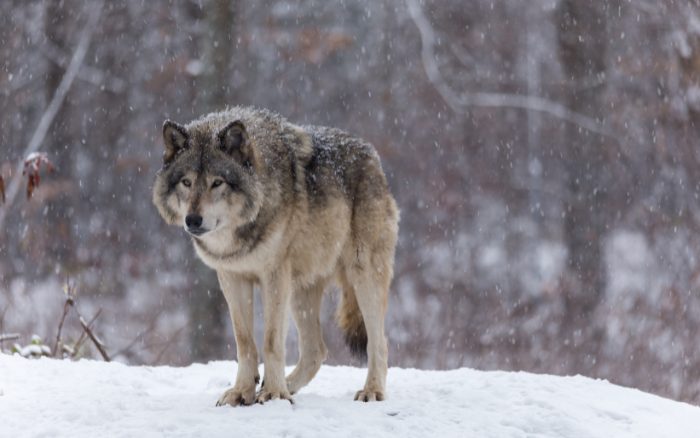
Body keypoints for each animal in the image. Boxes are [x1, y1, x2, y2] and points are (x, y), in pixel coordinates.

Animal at [152, 106, 399, 405]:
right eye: (186, 182)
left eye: (217, 183)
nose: (193, 220)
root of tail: (372, 156)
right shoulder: (232, 277)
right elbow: (245, 342)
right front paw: (243, 392)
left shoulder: (274, 277)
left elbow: (271, 341)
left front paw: (273, 394)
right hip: (301, 292)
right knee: (316, 351)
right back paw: (285, 385)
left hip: (362, 276)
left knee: (379, 342)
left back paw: (371, 391)